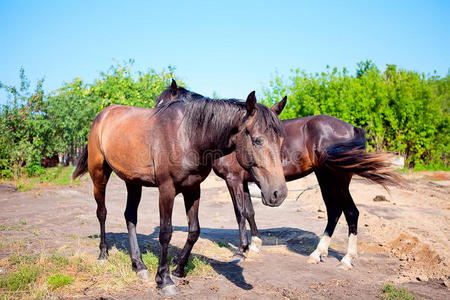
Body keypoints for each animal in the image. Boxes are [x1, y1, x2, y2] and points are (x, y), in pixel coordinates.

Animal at [72, 86, 286, 296]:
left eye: (281, 140)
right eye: (257, 140)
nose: (279, 194)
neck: (189, 136)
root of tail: (103, 114)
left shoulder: (193, 188)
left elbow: (194, 231)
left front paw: (179, 268)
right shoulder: (166, 189)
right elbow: (166, 233)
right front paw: (164, 279)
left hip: (132, 181)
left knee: (130, 216)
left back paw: (139, 265)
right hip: (99, 174)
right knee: (102, 213)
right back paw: (103, 254)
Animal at [158, 79, 400, 270]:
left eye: (162, 105)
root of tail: (352, 129)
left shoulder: (233, 180)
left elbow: (239, 212)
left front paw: (240, 251)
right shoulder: (246, 182)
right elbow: (250, 211)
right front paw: (254, 244)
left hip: (336, 180)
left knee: (350, 212)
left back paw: (347, 259)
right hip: (326, 179)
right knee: (334, 211)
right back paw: (318, 254)